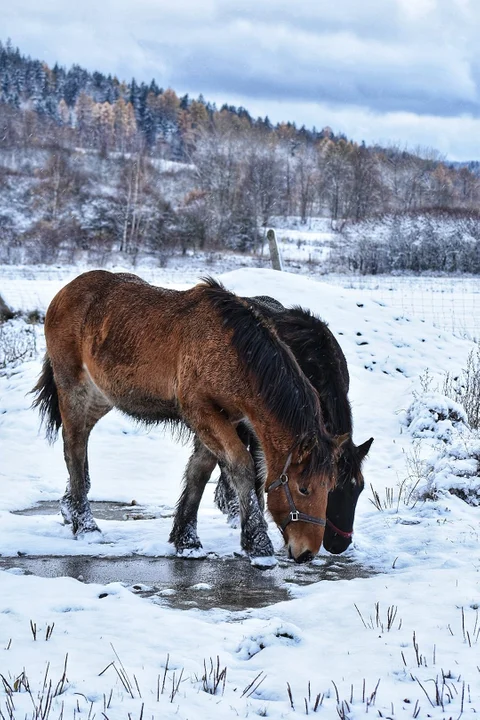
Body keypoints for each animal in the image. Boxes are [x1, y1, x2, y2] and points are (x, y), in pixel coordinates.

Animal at [31, 270, 344, 564]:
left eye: (330, 487)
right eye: (303, 489)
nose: (307, 552)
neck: (230, 350)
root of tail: (65, 292)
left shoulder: (223, 418)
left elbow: (199, 472)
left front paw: (186, 539)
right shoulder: (202, 412)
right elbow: (240, 466)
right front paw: (257, 544)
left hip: (101, 397)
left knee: (79, 445)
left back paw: (70, 508)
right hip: (74, 391)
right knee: (74, 448)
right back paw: (85, 526)